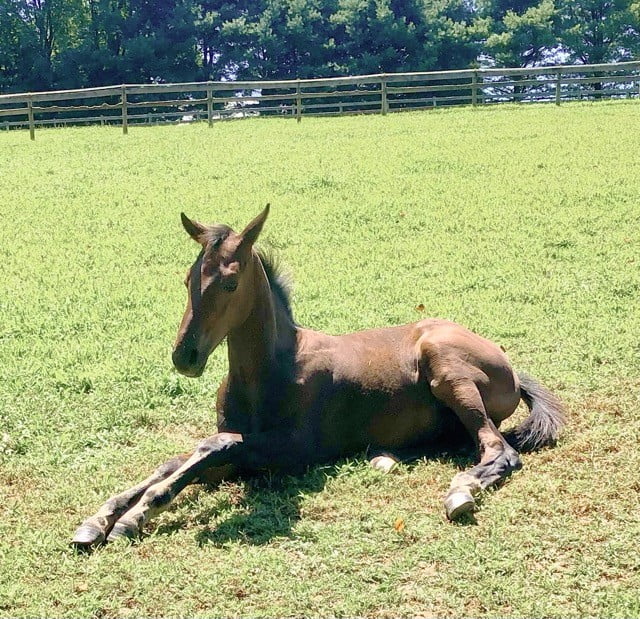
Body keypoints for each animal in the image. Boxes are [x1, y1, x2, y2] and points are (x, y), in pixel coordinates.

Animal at [74, 205, 564, 548]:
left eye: (230, 283)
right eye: (187, 279)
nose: (184, 356)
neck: (270, 371)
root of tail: (511, 368)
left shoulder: (290, 452)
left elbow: (211, 447)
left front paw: (135, 516)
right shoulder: (234, 454)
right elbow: (177, 461)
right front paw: (100, 519)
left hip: (446, 369)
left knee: (497, 449)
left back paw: (461, 491)